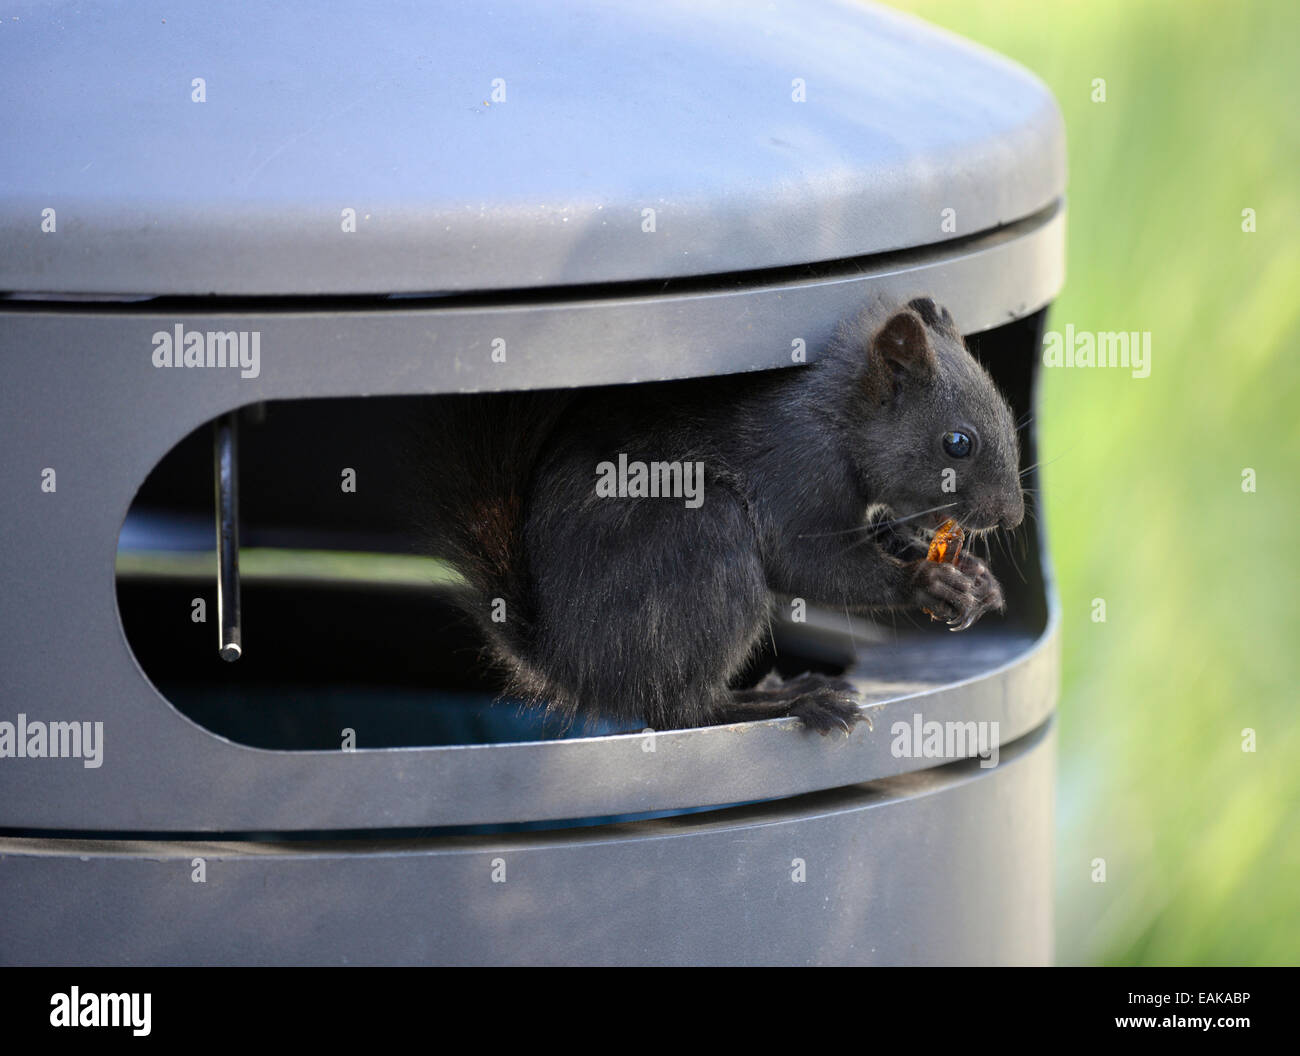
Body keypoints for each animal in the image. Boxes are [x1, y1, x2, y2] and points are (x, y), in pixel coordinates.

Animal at [421, 296, 1019, 738]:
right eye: (957, 443)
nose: (1010, 517)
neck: (838, 420)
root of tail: (567, 664)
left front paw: (978, 580)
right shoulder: (795, 469)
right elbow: (807, 562)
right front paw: (926, 581)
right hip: (701, 543)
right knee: (680, 713)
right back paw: (794, 703)